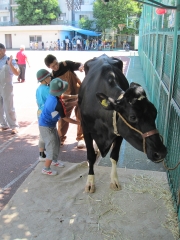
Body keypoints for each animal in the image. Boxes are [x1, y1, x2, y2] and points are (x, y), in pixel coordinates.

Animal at [79, 54, 167, 193]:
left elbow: (114, 156)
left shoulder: (120, 132)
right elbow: (91, 156)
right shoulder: (85, 128)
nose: (161, 152)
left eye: (155, 112)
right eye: (132, 117)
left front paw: (114, 180)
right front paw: (90, 182)